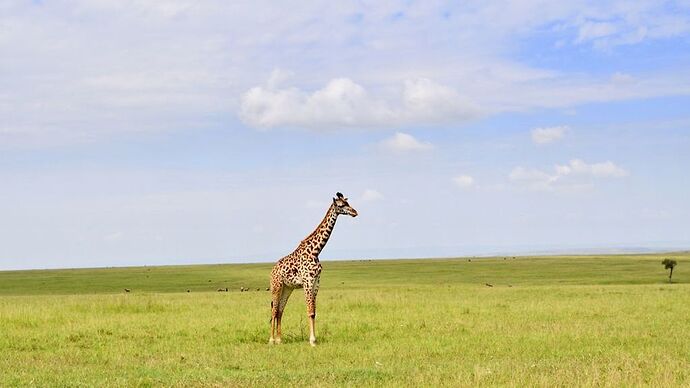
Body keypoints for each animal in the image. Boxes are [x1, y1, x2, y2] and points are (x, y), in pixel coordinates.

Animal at [268, 191, 358, 346]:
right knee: (274, 310)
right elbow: (309, 311)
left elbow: (314, 312)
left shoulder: (316, 283)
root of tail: (272, 270)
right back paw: (271, 340)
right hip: (276, 286)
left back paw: (280, 339)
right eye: (341, 205)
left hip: (287, 288)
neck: (316, 251)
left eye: (348, 202)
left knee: (280, 310)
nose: (355, 212)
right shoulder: (308, 282)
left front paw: (314, 339)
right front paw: (312, 341)